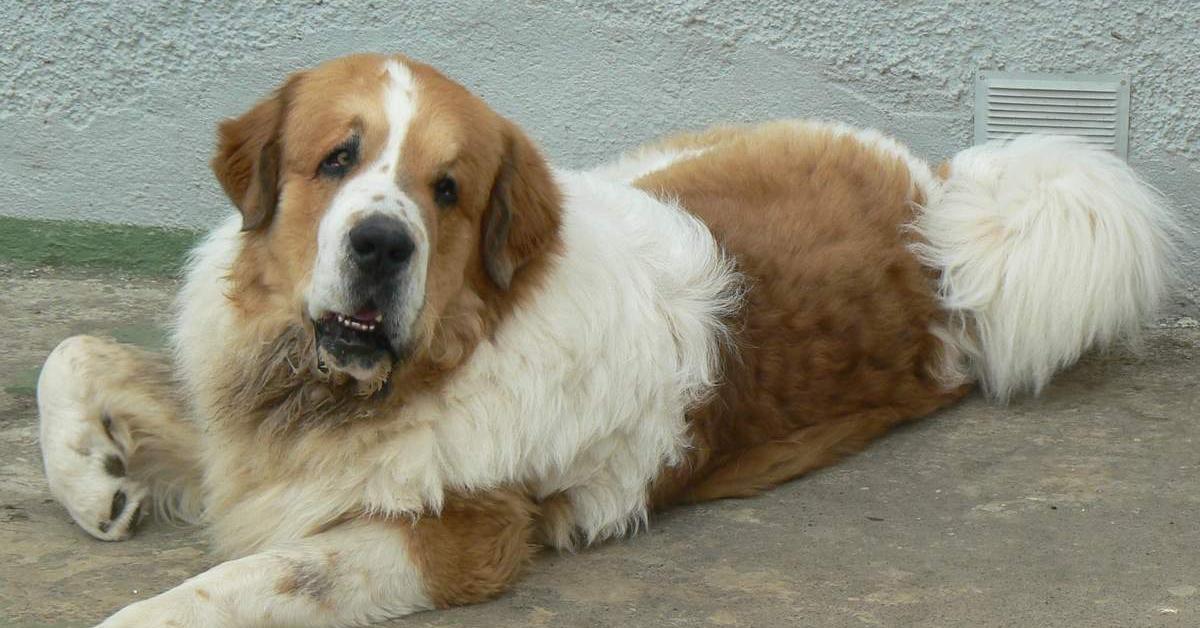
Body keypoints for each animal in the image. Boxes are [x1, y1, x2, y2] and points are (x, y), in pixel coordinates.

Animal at [35, 54, 1171, 628]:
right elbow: (75, 352)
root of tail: (938, 204)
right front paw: (98, 480)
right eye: (339, 159)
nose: (380, 242)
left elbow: (252, 581)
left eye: (447, 191)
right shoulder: (246, 417)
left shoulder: (459, 536)